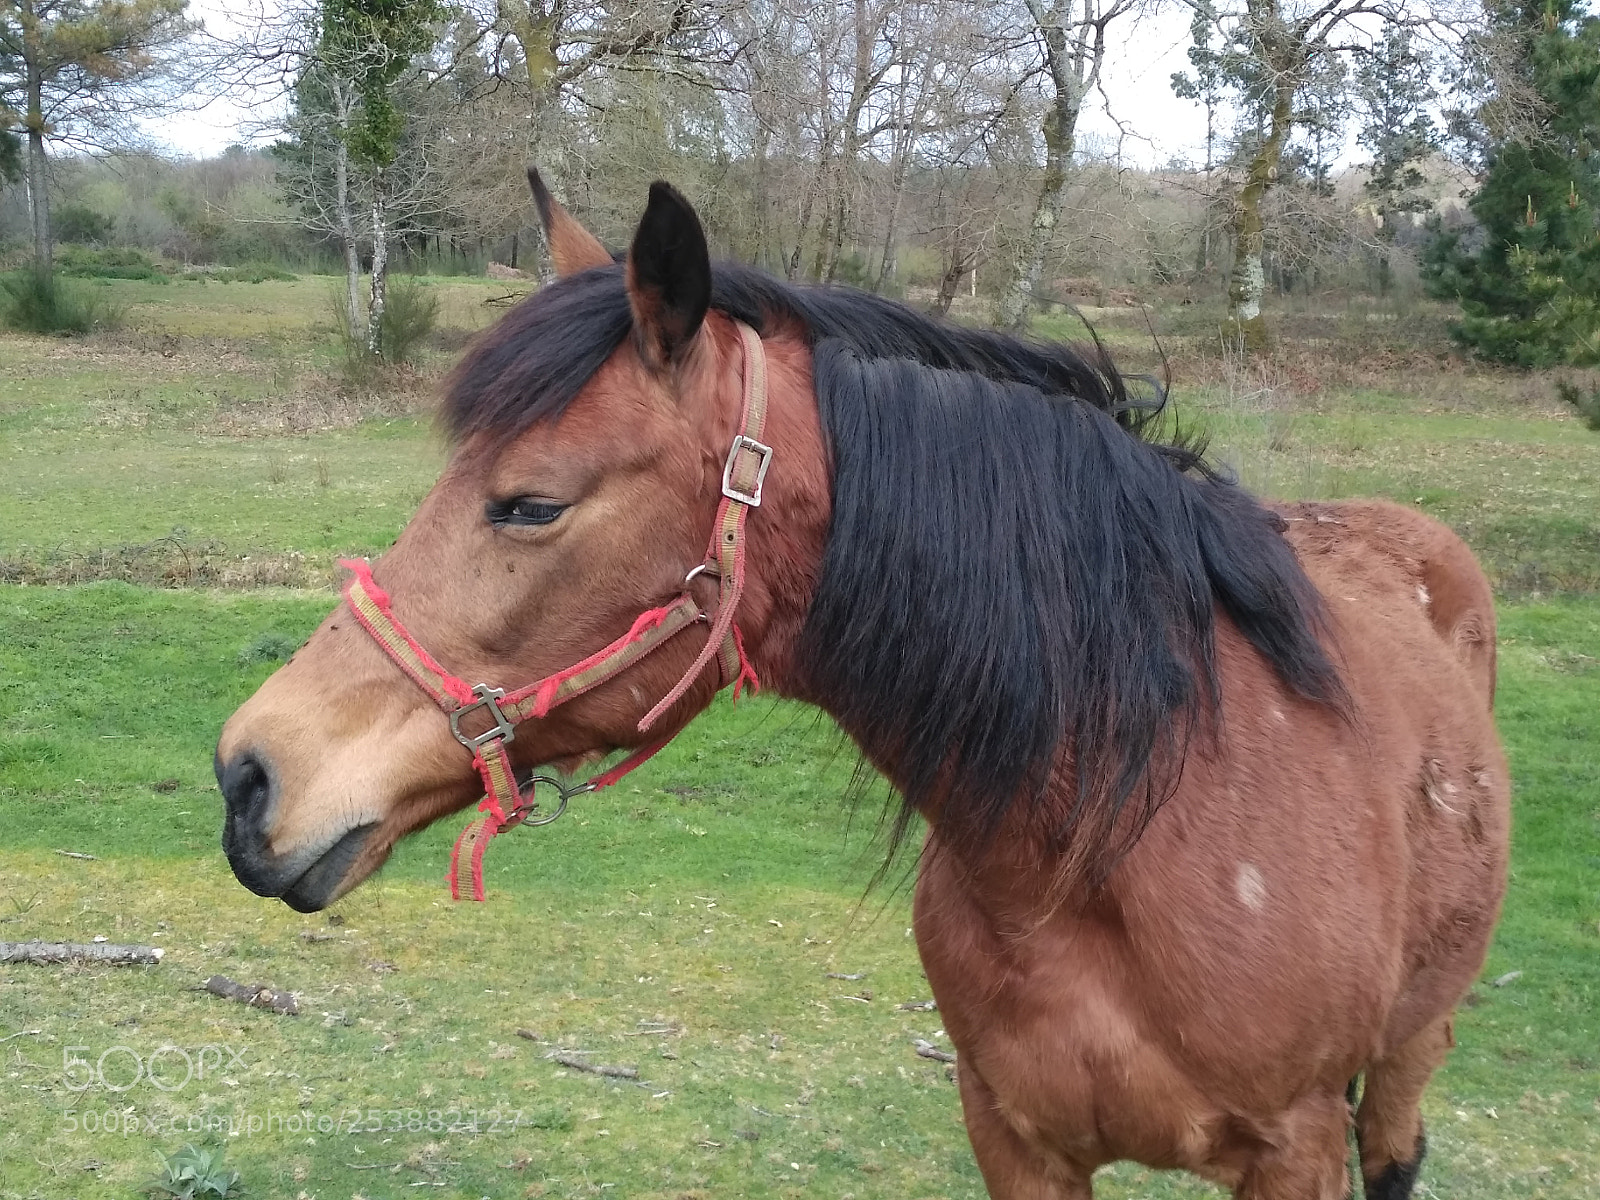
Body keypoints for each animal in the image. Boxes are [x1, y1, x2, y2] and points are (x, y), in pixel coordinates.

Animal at [215, 171, 1509, 1200]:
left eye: (530, 504)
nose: (248, 774)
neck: (1128, 829)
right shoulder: (1013, 1138)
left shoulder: (1294, 1150)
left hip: (1410, 1051)